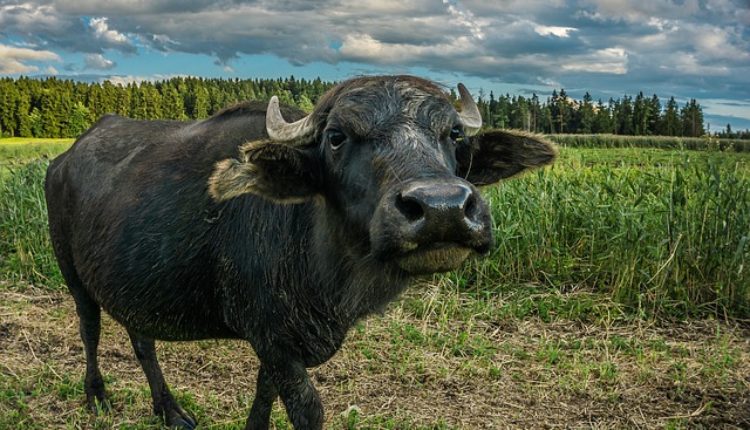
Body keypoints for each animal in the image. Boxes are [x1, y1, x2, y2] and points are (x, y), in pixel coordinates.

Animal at [42, 75, 560, 428]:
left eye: (453, 134)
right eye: (337, 137)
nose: (442, 208)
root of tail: (63, 159)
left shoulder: (278, 344)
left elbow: (263, 397)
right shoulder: (271, 337)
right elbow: (307, 410)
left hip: (133, 282)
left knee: (142, 340)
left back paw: (170, 410)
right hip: (72, 273)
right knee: (90, 330)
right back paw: (97, 396)